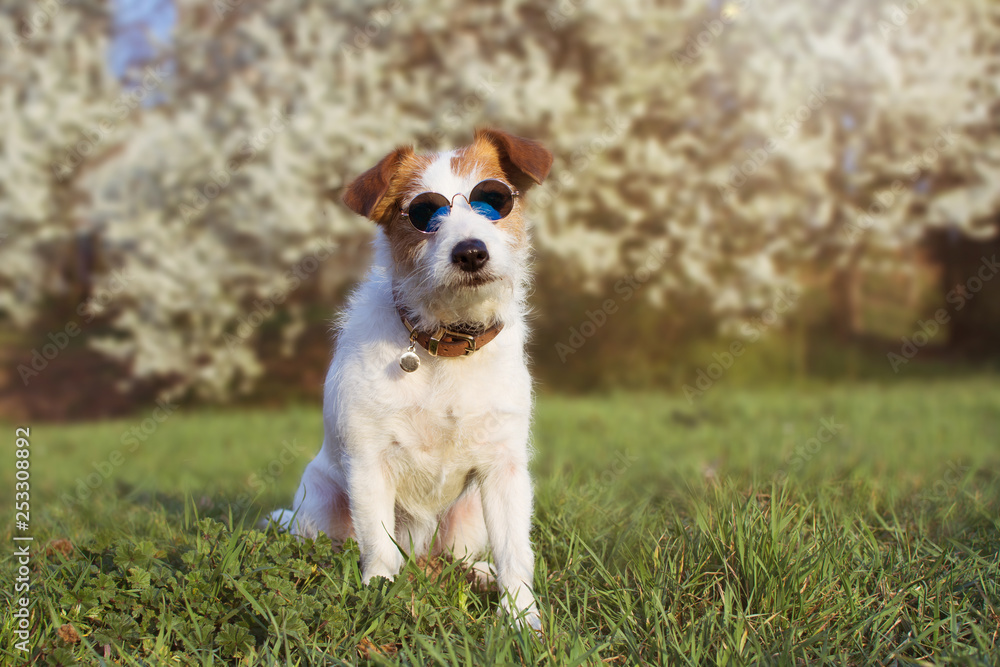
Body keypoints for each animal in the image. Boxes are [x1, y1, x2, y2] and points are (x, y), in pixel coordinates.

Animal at [272, 126, 556, 632]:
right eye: (424, 213)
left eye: (494, 200)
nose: (470, 252)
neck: (444, 342)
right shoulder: (369, 463)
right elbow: (378, 545)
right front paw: (379, 594)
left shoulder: (503, 468)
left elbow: (516, 552)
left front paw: (521, 617)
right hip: (320, 502)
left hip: (468, 515)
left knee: (459, 559)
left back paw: (481, 575)